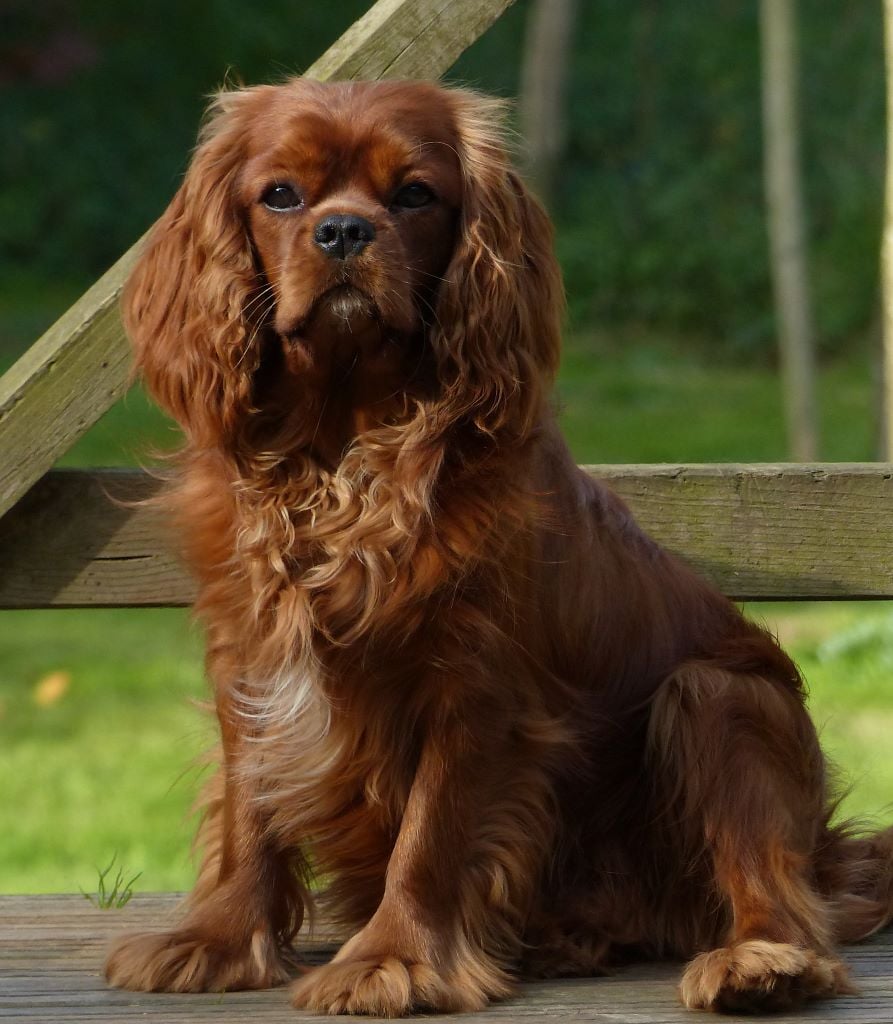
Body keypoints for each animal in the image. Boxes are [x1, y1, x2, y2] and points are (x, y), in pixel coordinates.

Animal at [106, 79, 893, 1015]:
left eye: (415, 194)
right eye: (281, 195)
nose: (343, 231)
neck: (342, 455)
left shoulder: (472, 684)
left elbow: (431, 833)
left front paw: (395, 960)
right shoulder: (252, 655)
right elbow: (248, 808)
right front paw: (218, 940)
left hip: (722, 697)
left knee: (781, 894)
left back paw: (758, 963)